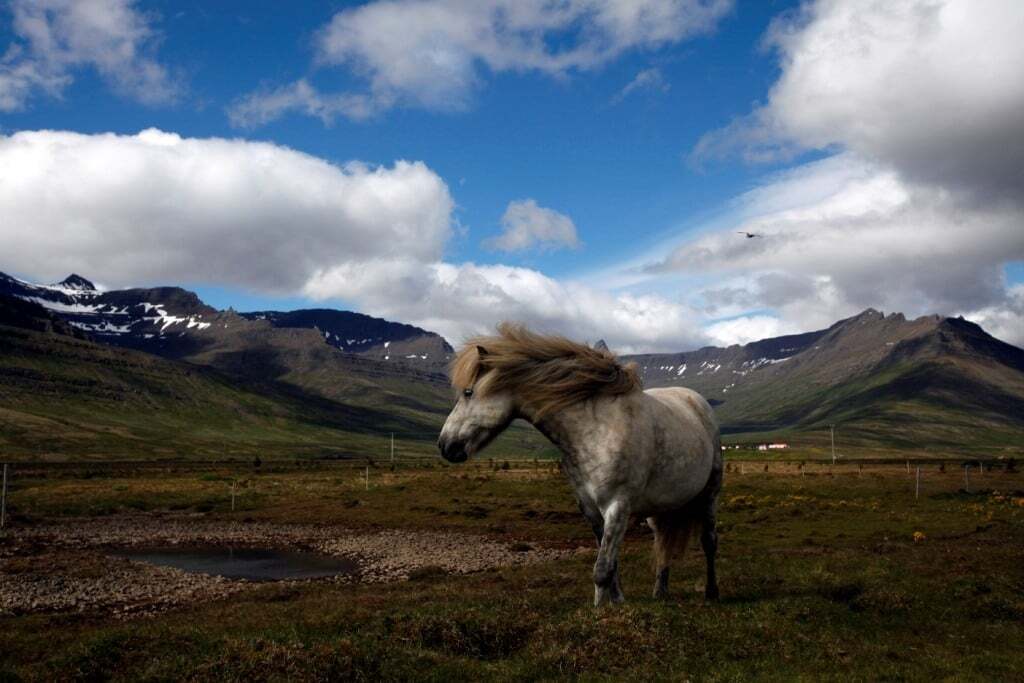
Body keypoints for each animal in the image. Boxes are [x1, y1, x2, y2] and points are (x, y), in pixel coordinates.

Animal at [436, 323, 724, 606]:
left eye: (468, 392)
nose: (444, 445)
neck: (595, 429)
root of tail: (696, 401)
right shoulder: (590, 509)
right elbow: (610, 565)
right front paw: (616, 602)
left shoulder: (618, 507)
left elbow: (602, 569)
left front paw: (600, 611)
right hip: (661, 507)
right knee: (662, 543)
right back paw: (660, 591)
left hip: (710, 494)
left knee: (709, 541)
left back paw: (711, 592)